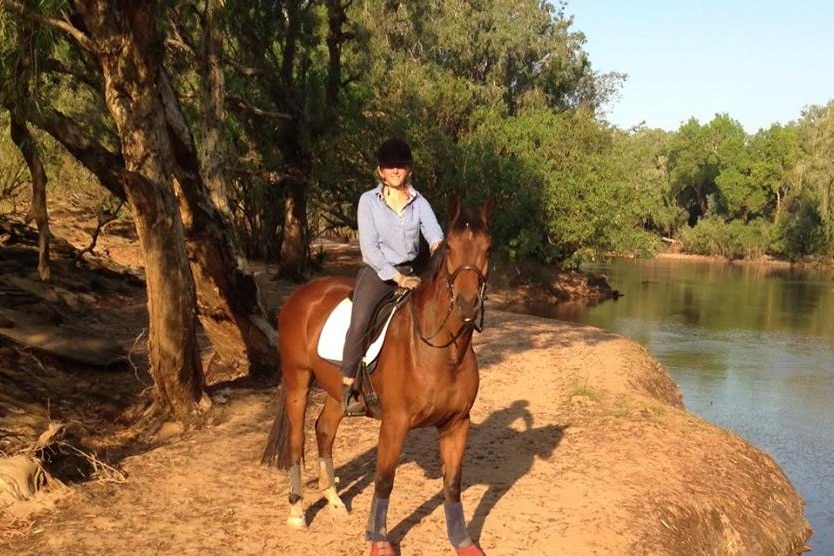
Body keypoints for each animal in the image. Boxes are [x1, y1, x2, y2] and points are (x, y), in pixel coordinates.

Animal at [264, 198, 490, 552]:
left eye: (488, 248)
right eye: (451, 247)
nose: (467, 305)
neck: (442, 350)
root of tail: (302, 295)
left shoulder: (457, 423)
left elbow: (452, 484)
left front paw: (463, 541)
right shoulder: (395, 423)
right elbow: (384, 481)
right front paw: (379, 541)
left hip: (336, 391)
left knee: (324, 430)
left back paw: (334, 500)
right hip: (298, 380)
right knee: (297, 442)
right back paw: (297, 511)